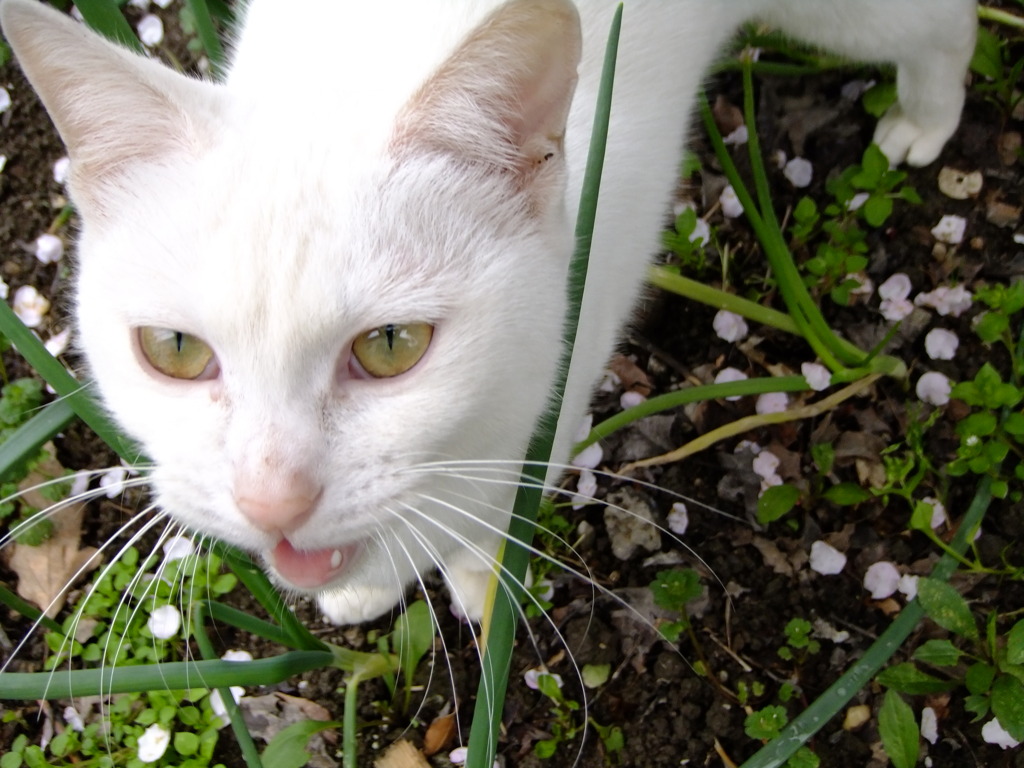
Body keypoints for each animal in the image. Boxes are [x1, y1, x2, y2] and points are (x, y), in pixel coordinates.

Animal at [0, 0, 974, 626]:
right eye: (172, 349)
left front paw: (472, 572)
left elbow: (483, 496)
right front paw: (369, 576)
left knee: (940, 23)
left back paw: (926, 118)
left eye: (392, 346)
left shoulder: (568, 358)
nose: (271, 502)